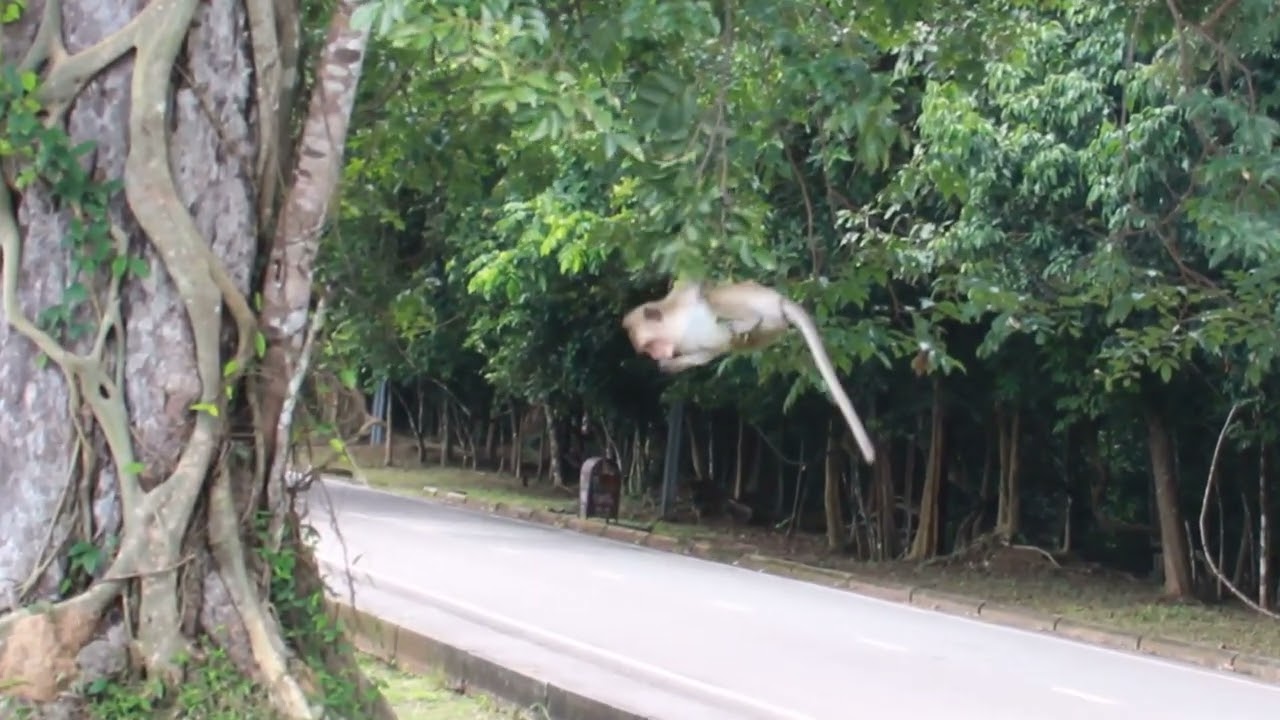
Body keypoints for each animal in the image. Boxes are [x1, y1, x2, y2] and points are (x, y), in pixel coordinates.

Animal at [621, 280, 876, 465]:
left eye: (650, 346)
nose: (656, 356)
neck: (677, 327)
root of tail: (781, 300)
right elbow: (703, 355)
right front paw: (669, 366)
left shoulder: (683, 298)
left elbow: (700, 289)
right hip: (770, 327)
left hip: (759, 300)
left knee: (715, 300)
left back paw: (747, 319)